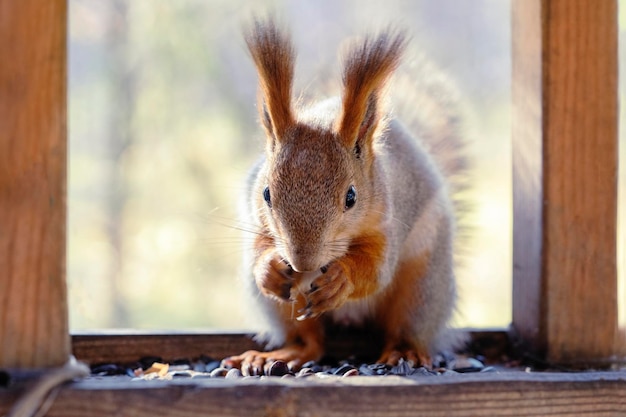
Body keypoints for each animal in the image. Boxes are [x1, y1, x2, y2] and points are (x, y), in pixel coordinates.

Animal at [222, 17, 466, 376]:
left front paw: (342, 279)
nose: (302, 262)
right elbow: (258, 247)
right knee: (310, 341)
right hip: (278, 307)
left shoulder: (389, 221)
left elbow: (376, 270)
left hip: (424, 286)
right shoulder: (257, 218)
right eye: (266, 193)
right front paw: (269, 268)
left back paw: (404, 352)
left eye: (351, 197)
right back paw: (282, 354)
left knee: (407, 324)